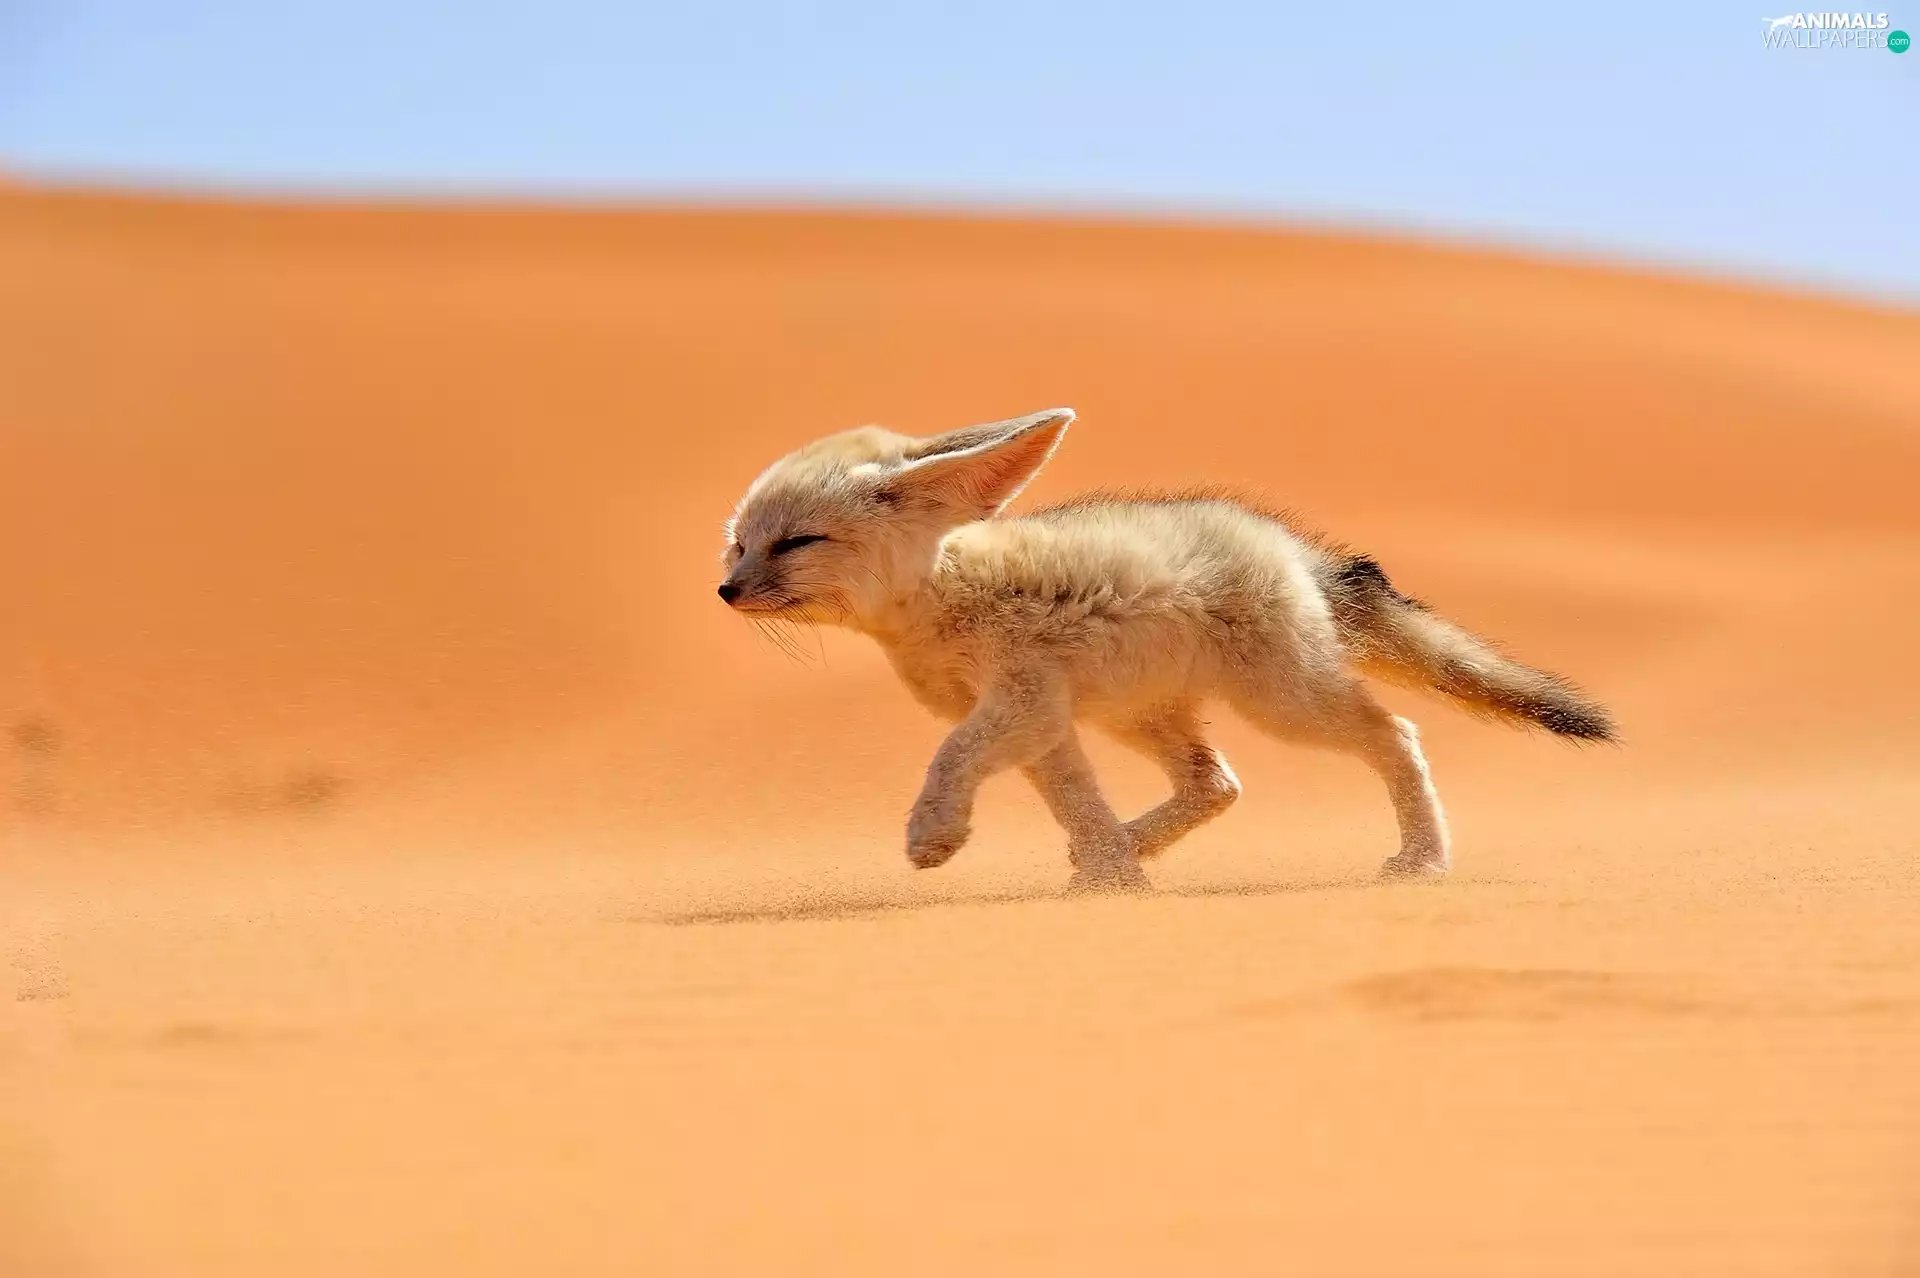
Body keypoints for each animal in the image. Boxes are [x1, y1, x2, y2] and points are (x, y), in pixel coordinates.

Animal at [717, 408, 1614, 892]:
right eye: (738, 545)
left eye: (796, 543)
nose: (726, 591)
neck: (943, 595)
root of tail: (1291, 546)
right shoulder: (1044, 721)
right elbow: (1074, 801)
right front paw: (1112, 876)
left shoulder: (1020, 702)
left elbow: (951, 757)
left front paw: (934, 834)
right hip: (1141, 716)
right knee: (1217, 783)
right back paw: (1132, 845)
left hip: (1285, 704)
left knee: (1395, 734)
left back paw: (1424, 859)